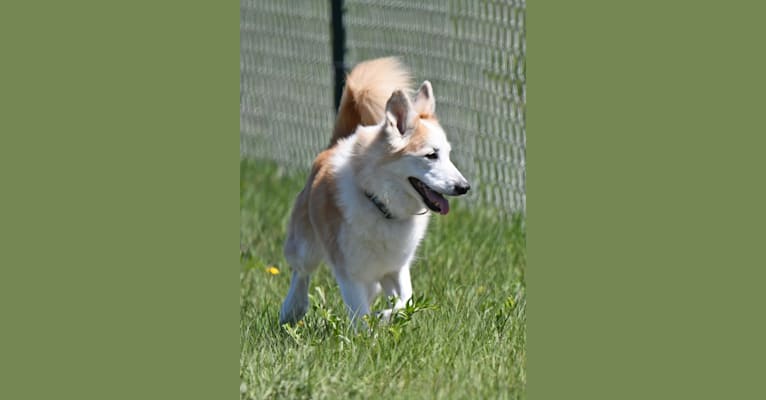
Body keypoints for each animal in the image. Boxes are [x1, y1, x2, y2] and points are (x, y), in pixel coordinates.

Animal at [278, 57, 468, 324]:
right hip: (306, 246)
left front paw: (384, 316)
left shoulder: (396, 267)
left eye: (448, 155)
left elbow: (405, 301)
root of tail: (335, 145)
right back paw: (292, 309)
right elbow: (360, 316)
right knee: (301, 272)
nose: (464, 187)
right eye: (431, 155)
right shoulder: (349, 273)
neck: (380, 205)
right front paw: (370, 328)